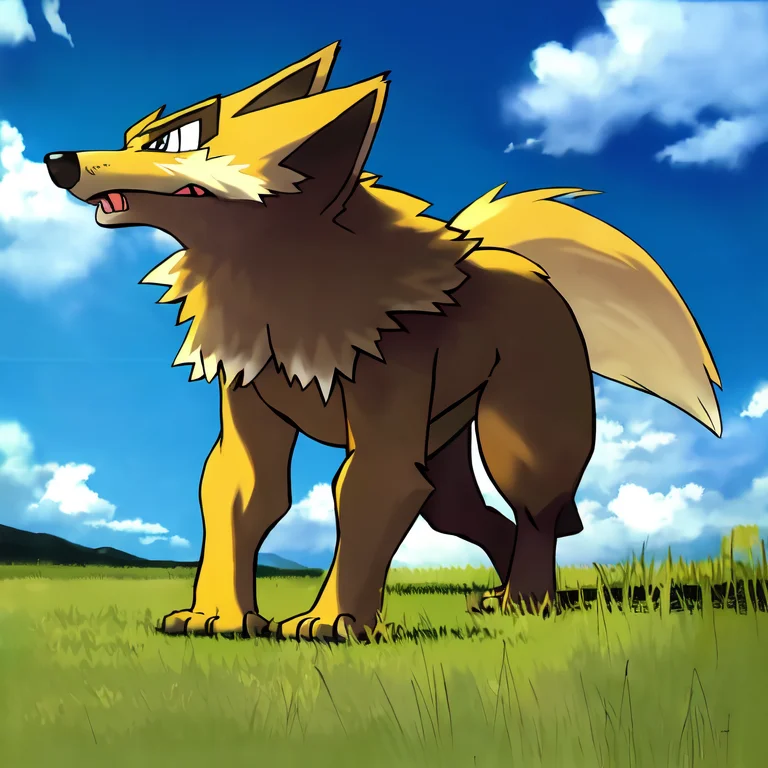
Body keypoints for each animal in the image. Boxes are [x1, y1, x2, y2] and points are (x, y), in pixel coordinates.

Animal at [45, 42, 721, 641]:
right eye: (136, 135)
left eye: (177, 140)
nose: (58, 160)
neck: (279, 278)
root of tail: (524, 265)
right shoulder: (249, 409)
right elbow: (239, 497)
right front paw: (218, 617)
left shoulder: (385, 415)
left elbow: (365, 493)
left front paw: (333, 623)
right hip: (445, 444)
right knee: (468, 513)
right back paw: (505, 593)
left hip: (521, 441)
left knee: (536, 513)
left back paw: (526, 601)